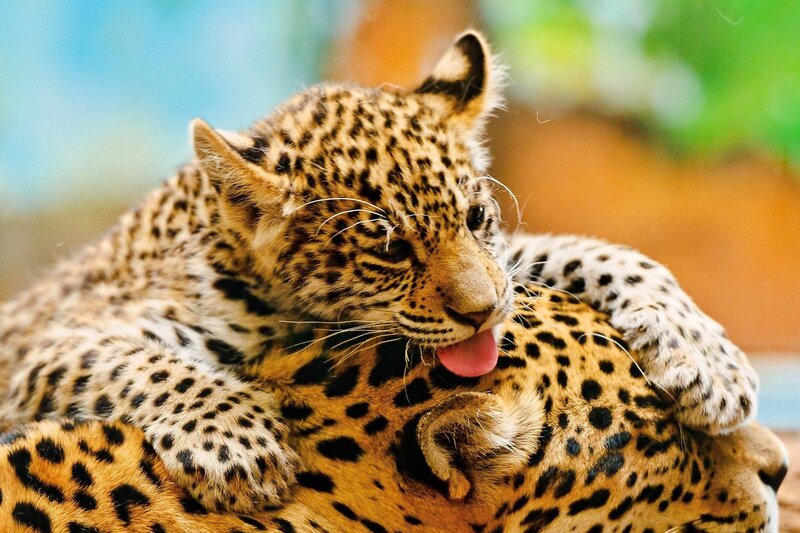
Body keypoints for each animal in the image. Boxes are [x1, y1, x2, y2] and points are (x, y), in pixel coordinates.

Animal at [0, 30, 758, 513]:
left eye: (476, 217)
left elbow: (590, 251)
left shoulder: (506, 262)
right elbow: (138, 362)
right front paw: (240, 443)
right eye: (390, 250)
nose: (483, 314)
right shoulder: (44, 343)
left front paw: (707, 361)